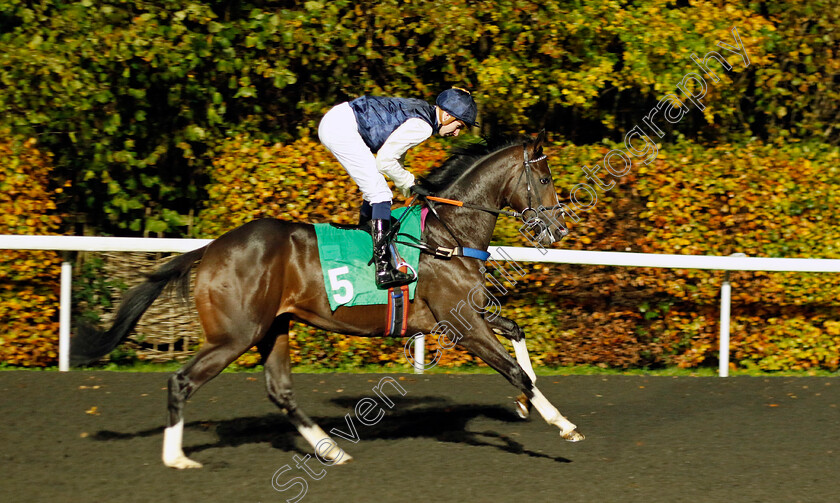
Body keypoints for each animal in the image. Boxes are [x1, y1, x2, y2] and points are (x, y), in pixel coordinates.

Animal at [70, 130, 584, 468]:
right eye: (544, 179)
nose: (558, 228)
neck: (447, 235)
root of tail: (211, 248)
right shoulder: (461, 324)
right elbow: (514, 369)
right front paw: (562, 423)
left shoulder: (467, 313)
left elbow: (517, 335)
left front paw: (524, 405)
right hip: (236, 334)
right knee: (182, 381)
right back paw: (177, 459)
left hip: (272, 328)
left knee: (280, 391)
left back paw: (331, 448)